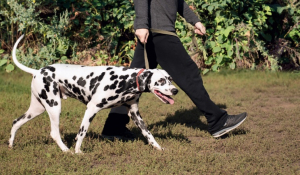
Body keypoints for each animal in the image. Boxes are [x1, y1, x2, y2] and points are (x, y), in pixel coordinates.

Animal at [8, 35, 178, 153]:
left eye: (170, 79)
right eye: (161, 81)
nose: (175, 90)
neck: (125, 80)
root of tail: (37, 71)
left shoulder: (135, 114)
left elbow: (149, 134)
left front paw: (159, 148)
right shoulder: (91, 109)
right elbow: (82, 133)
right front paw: (78, 151)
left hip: (38, 109)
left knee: (16, 122)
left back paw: (10, 145)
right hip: (54, 108)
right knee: (54, 133)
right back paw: (66, 150)